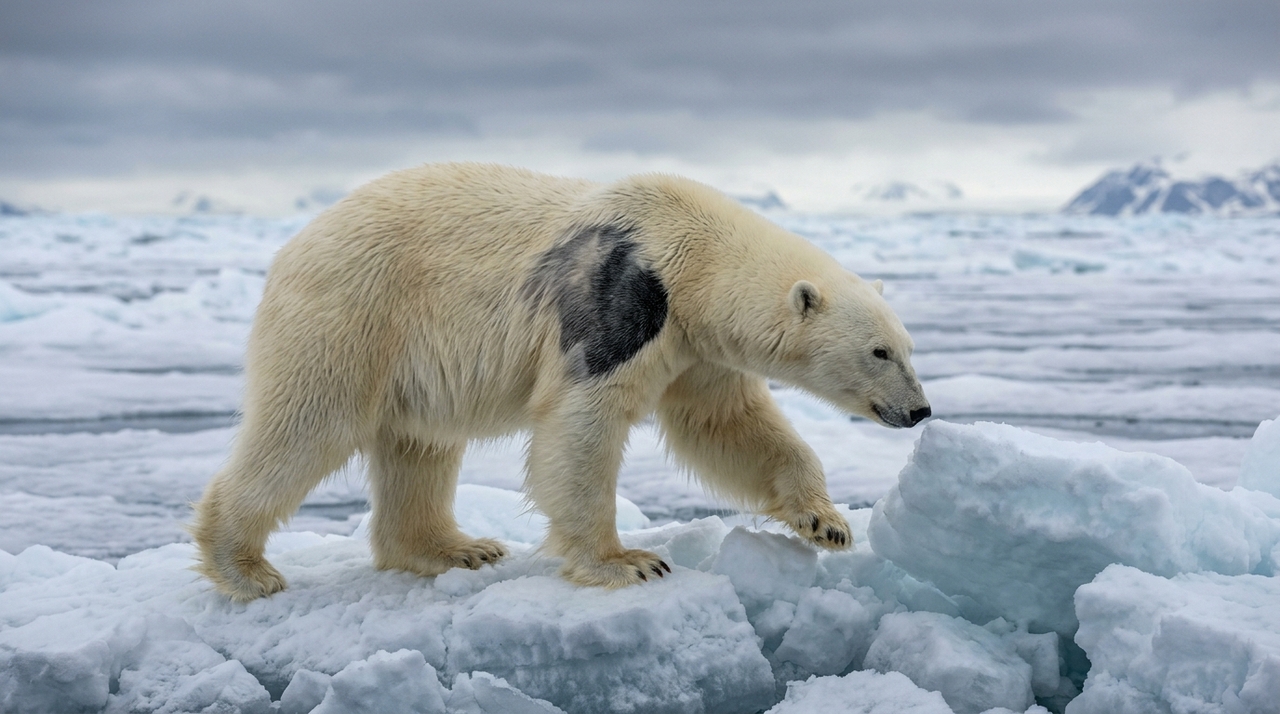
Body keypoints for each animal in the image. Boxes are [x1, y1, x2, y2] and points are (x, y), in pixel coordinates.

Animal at [192, 163, 931, 601]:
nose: (920, 411)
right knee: (309, 423)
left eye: (907, 347)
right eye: (879, 352)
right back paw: (245, 567)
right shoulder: (622, 303)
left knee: (420, 445)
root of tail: (292, 246)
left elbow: (726, 426)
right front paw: (628, 561)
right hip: (352, 312)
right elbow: (582, 425)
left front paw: (825, 522)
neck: (693, 254)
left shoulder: (695, 346)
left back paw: (457, 548)